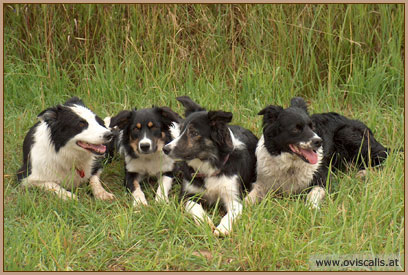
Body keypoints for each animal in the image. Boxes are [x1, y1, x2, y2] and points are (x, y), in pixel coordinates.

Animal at [163, 97, 258, 237]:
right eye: (181, 132)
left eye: (194, 133)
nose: (165, 149)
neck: (209, 166)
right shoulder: (186, 195)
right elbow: (194, 206)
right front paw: (204, 221)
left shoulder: (234, 197)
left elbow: (230, 214)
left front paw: (223, 228)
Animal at [244, 97, 388, 209]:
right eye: (295, 129)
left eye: (312, 126)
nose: (319, 141)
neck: (291, 165)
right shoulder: (262, 183)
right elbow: (249, 197)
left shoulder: (323, 180)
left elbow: (312, 194)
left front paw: (311, 208)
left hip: (346, 134)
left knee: (383, 157)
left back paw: (363, 173)